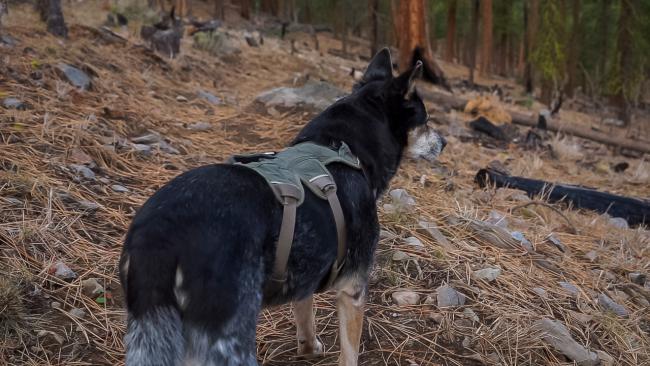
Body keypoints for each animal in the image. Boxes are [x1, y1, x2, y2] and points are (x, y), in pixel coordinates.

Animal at [119, 48, 442, 366]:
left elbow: (305, 316)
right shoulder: (352, 290)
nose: (445, 142)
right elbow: (350, 352)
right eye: (426, 120)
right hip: (227, 341)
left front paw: (308, 348)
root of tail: (160, 237)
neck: (341, 146)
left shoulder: (307, 271)